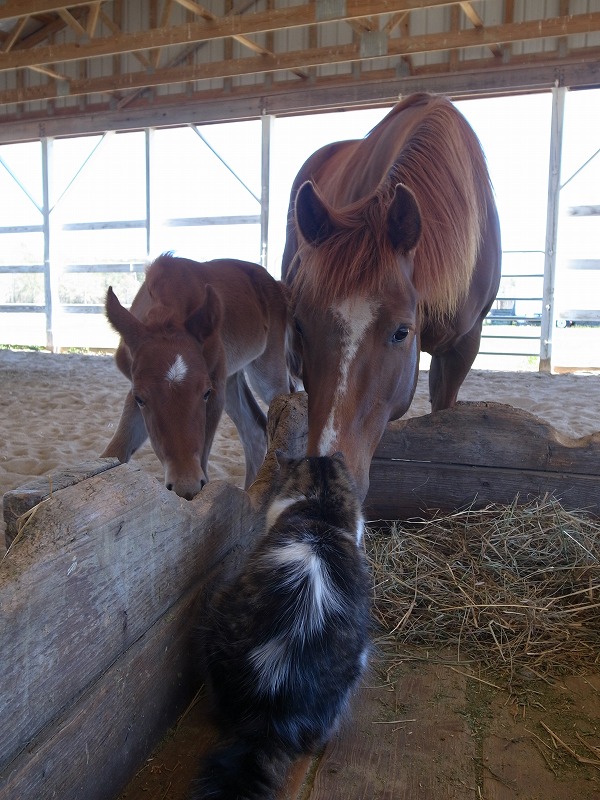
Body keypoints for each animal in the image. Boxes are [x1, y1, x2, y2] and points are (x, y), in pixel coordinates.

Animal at [101, 253, 293, 500]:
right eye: (140, 399)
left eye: (205, 393)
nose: (185, 486)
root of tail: (277, 285)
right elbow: (116, 450)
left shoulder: (215, 389)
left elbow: (202, 456)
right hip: (231, 379)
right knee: (254, 431)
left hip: (267, 372)